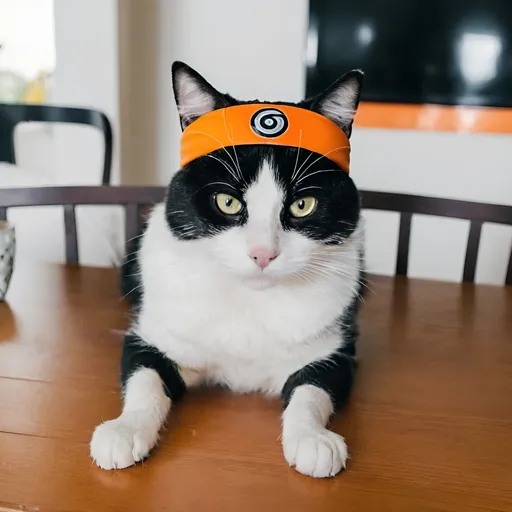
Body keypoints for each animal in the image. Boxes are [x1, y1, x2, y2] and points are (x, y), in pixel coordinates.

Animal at [91, 62, 364, 478]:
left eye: (302, 205)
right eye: (227, 202)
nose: (263, 254)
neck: (249, 302)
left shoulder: (336, 352)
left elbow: (312, 392)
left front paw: (313, 440)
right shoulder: (153, 337)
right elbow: (145, 381)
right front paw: (124, 430)